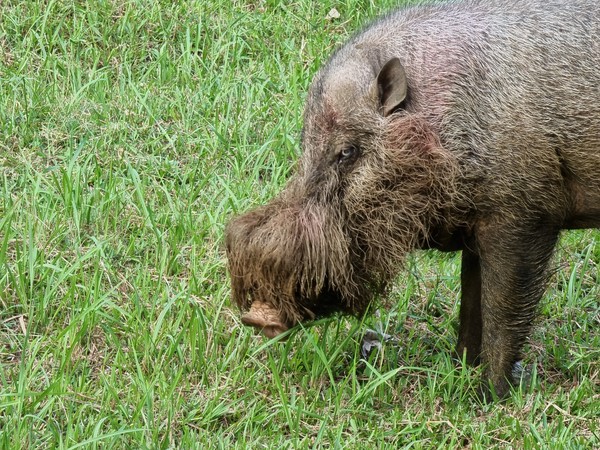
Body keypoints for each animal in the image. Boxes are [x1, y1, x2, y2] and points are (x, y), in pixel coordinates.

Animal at [225, 0, 600, 399]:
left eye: (347, 152)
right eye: (305, 145)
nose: (256, 316)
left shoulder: (525, 217)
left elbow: (501, 314)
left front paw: (488, 397)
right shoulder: (477, 225)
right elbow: (470, 305)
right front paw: (459, 369)